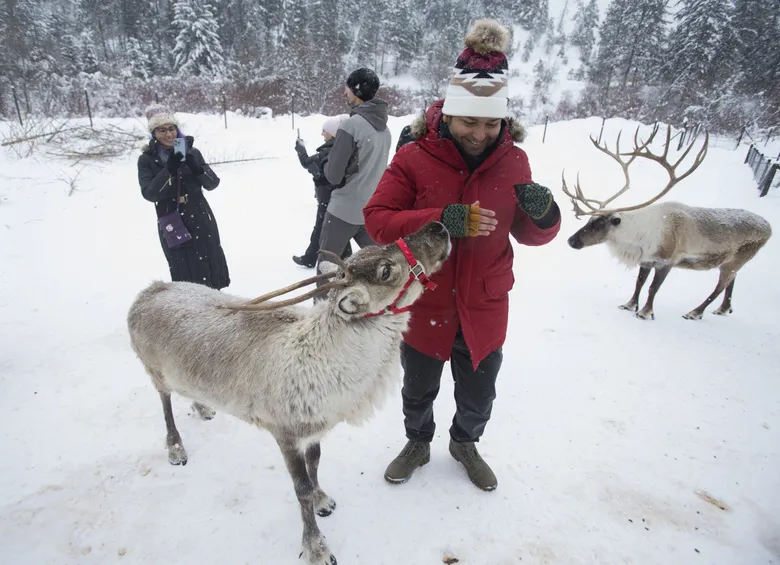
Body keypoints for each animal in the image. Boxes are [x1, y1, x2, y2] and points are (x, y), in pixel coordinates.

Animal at [126, 221, 452, 565]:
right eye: (386, 271)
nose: (438, 227)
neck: (329, 359)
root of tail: (147, 291)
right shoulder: (285, 434)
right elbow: (301, 489)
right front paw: (316, 546)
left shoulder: (315, 428)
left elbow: (316, 464)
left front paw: (323, 500)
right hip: (154, 370)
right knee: (165, 402)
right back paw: (176, 448)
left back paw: (202, 408)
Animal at [563, 124, 772, 321]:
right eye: (590, 219)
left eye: (599, 224)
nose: (571, 240)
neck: (639, 238)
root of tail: (769, 227)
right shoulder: (646, 260)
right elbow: (639, 283)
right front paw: (629, 305)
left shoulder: (667, 261)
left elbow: (653, 288)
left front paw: (645, 312)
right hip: (731, 262)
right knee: (731, 281)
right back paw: (723, 309)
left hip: (737, 259)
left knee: (719, 287)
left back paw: (695, 312)